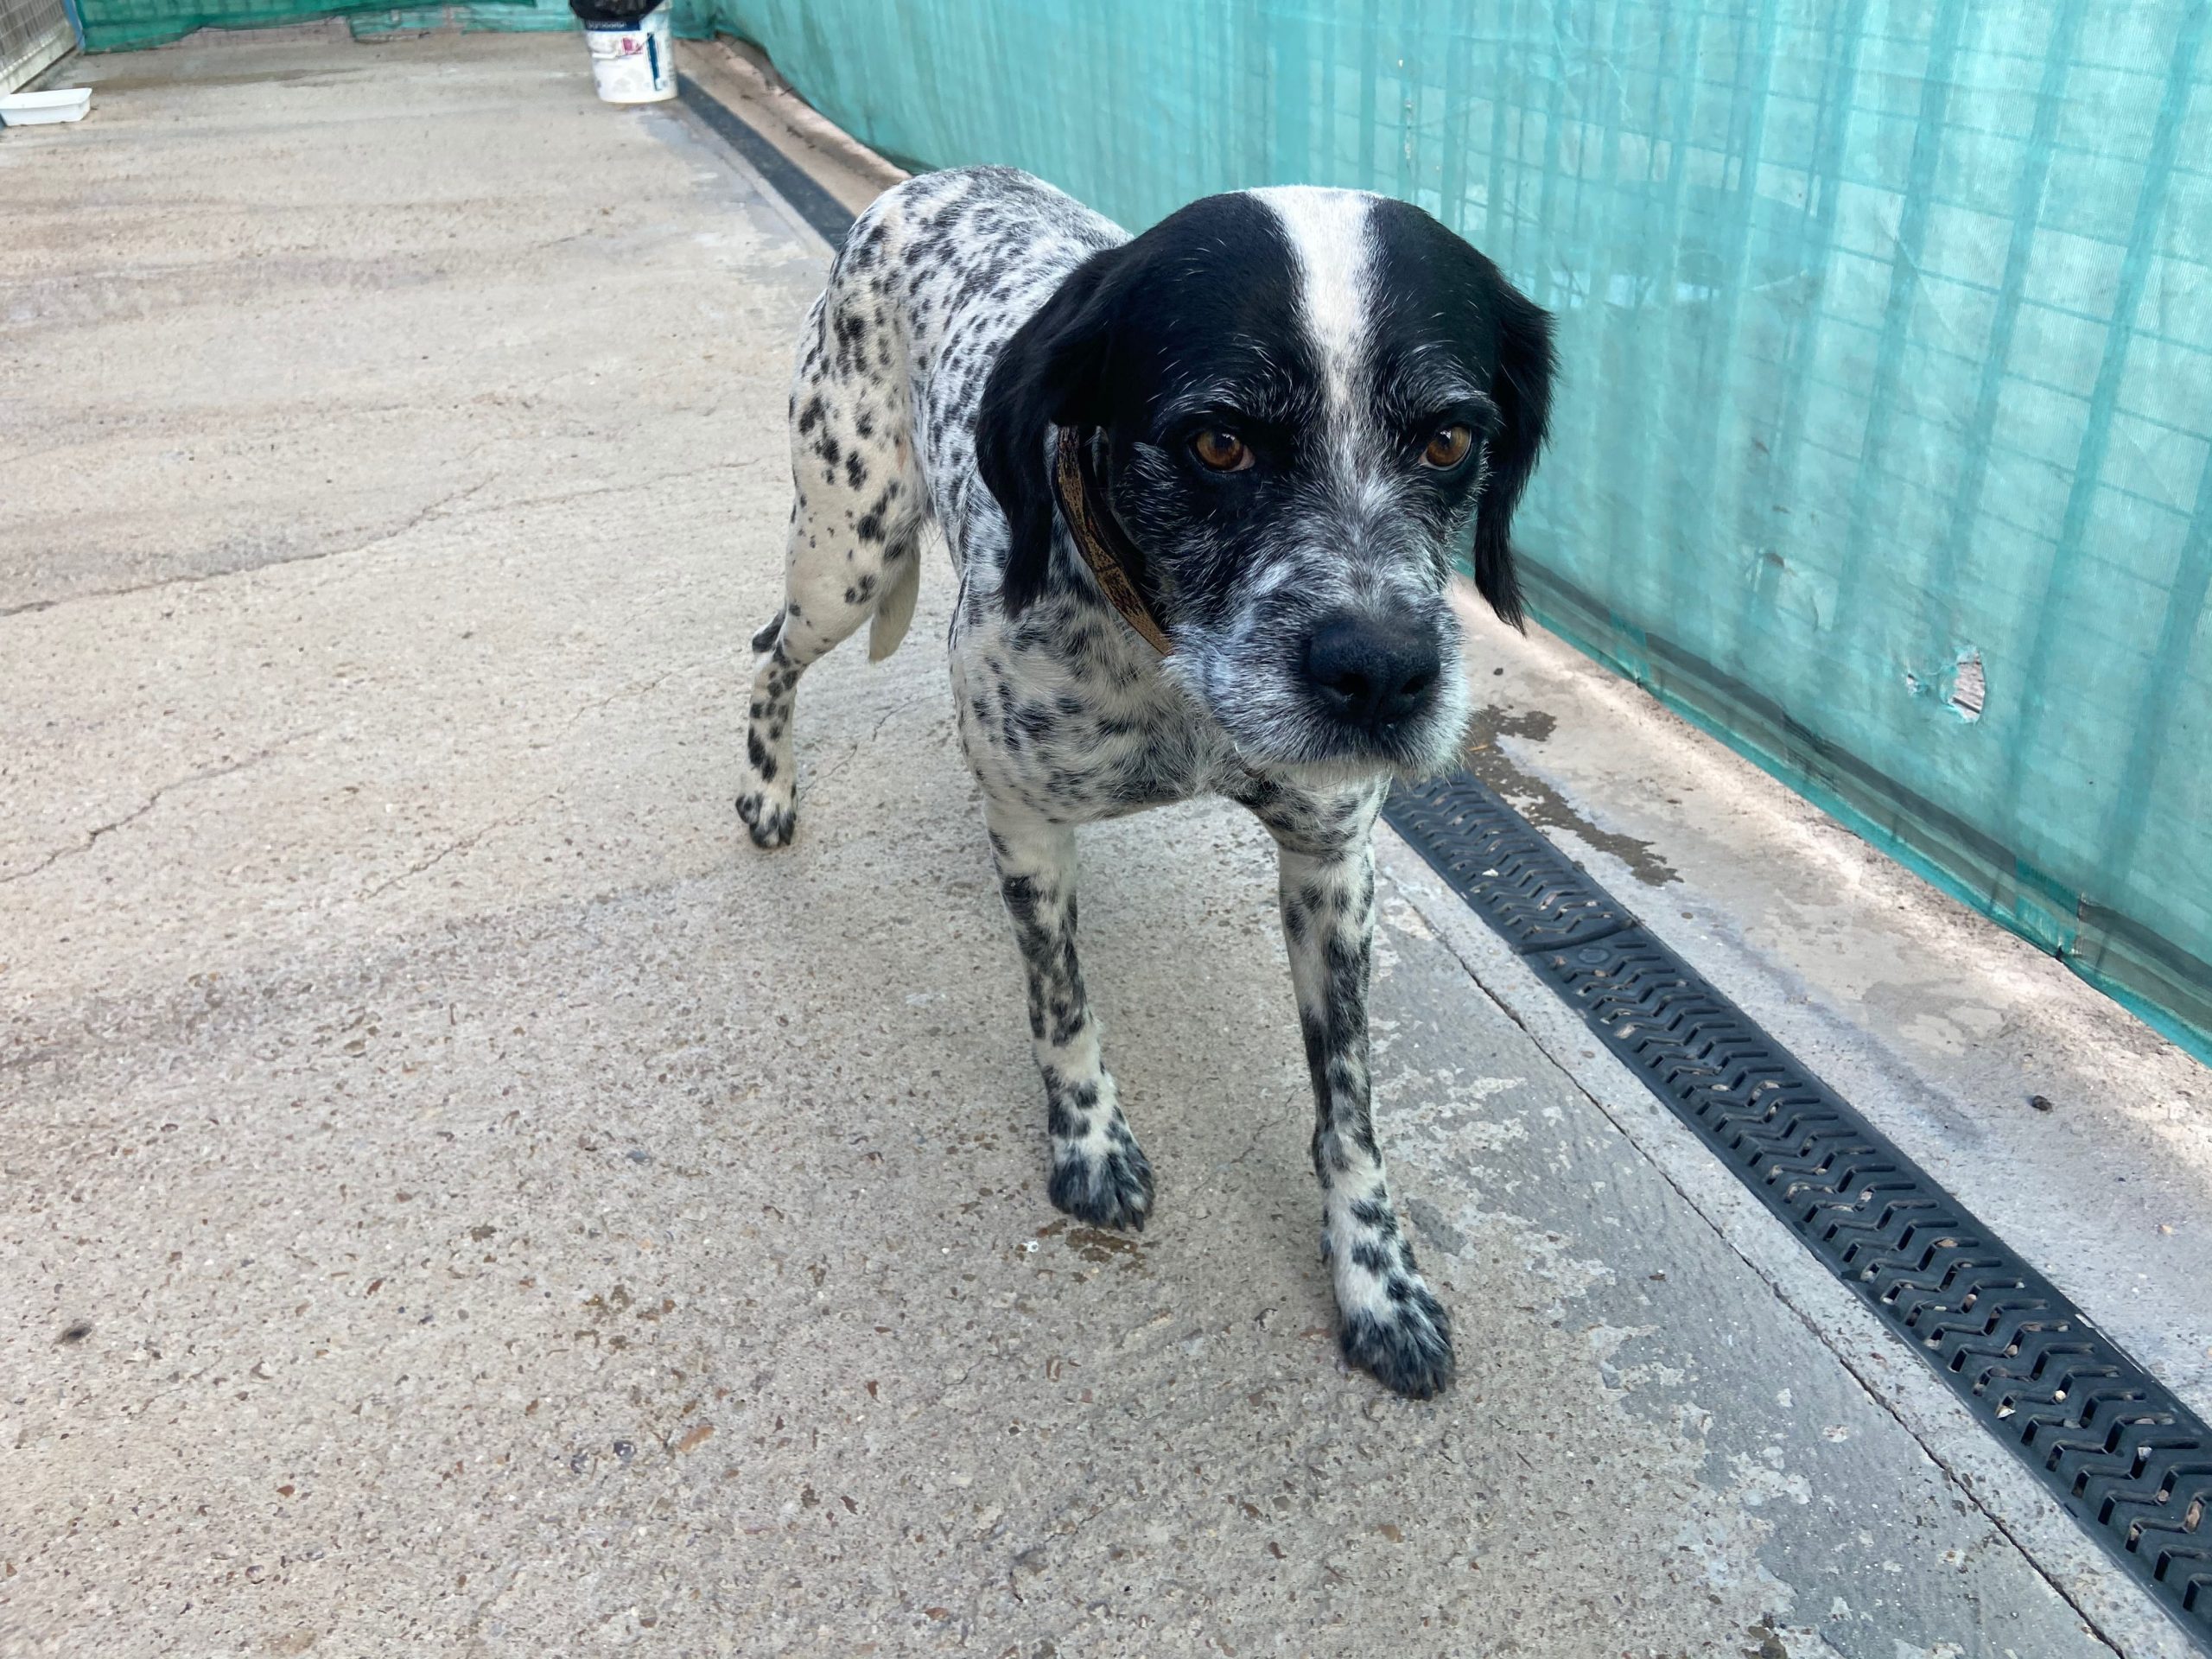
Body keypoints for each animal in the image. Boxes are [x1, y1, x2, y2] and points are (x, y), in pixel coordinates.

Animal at [736, 167, 1553, 1397]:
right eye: (1217, 443)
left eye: (1451, 436)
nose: (1381, 676)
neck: (1179, 675)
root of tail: (919, 184)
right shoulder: (1028, 827)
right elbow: (1061, 1006)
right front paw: (1088, 1147)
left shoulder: (1332, 862)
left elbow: (1349, 1107)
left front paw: (1379, 1282)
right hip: (847, 551)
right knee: (768, 653)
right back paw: (768, 789)